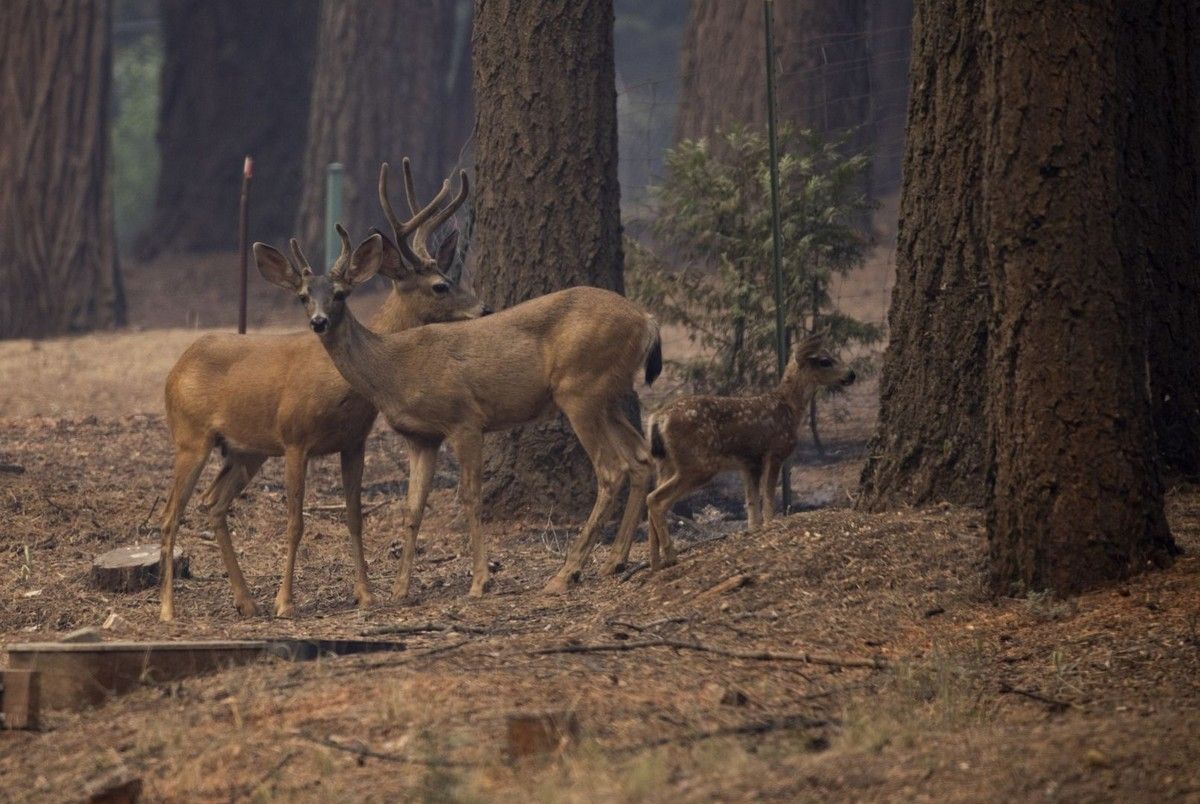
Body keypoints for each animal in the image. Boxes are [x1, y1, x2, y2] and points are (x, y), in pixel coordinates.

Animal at [158, 160, 483, 622]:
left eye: (343, 293)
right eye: (440, 285)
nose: (482, 308)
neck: (341, 388)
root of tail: (177, 366)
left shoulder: (353, 441)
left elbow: (354, 516)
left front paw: (365, 594)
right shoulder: (295, 441)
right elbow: (295, 522)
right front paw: (285, 601)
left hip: (245, 450)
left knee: (212, 503)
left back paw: (246, 601)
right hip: (191, 438)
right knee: (171, 513)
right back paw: (169, 609)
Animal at [252, 196, 662, 600]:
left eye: (340, 294)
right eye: (304, 297)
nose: (318, 322)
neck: (394, 369)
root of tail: (646, 320)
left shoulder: (465, 418)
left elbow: (469, 496)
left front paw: (481, 580)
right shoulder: (421, 437)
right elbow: (412, 509)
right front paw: (400, 589)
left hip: (579, 389)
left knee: (611, 469)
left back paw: (566, 573)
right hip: (608, 394)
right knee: (641, 459)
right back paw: (615, 561)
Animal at [644, 334, 855, 567]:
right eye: (825, 360)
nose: (851, 374)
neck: (790, 408)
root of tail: (658, 419)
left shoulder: (749, 463)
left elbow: (752, 504)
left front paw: (755, 530)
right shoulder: (775, 452)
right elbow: (769, 495)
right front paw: (771, 525)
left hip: (666, 463)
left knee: (650, 499)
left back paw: (655, 562)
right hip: (698, 464)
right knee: (655, 499)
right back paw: (671, 556)